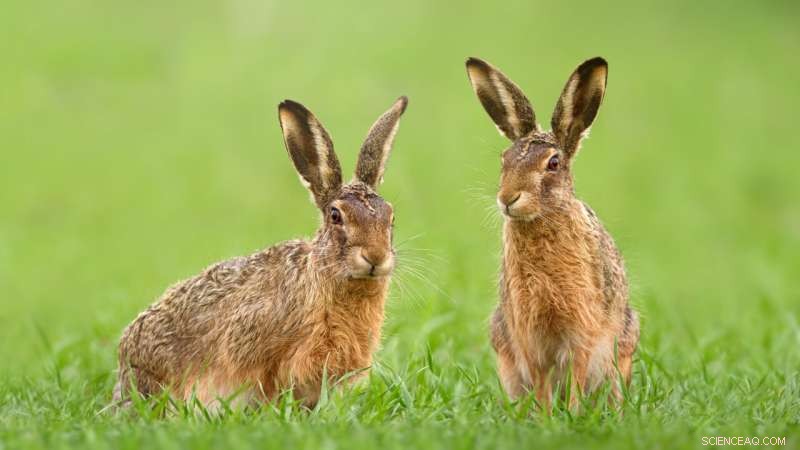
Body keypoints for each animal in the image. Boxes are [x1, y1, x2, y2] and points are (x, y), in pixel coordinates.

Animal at [465, 57, 639, 408]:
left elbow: (577, 372)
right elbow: (540, 376)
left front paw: (571, 413)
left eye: (553, 163)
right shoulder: (528, 331)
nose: (508, 199)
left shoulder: (582, 327)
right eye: (504, 160)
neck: (542, 219)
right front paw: (547, 415)